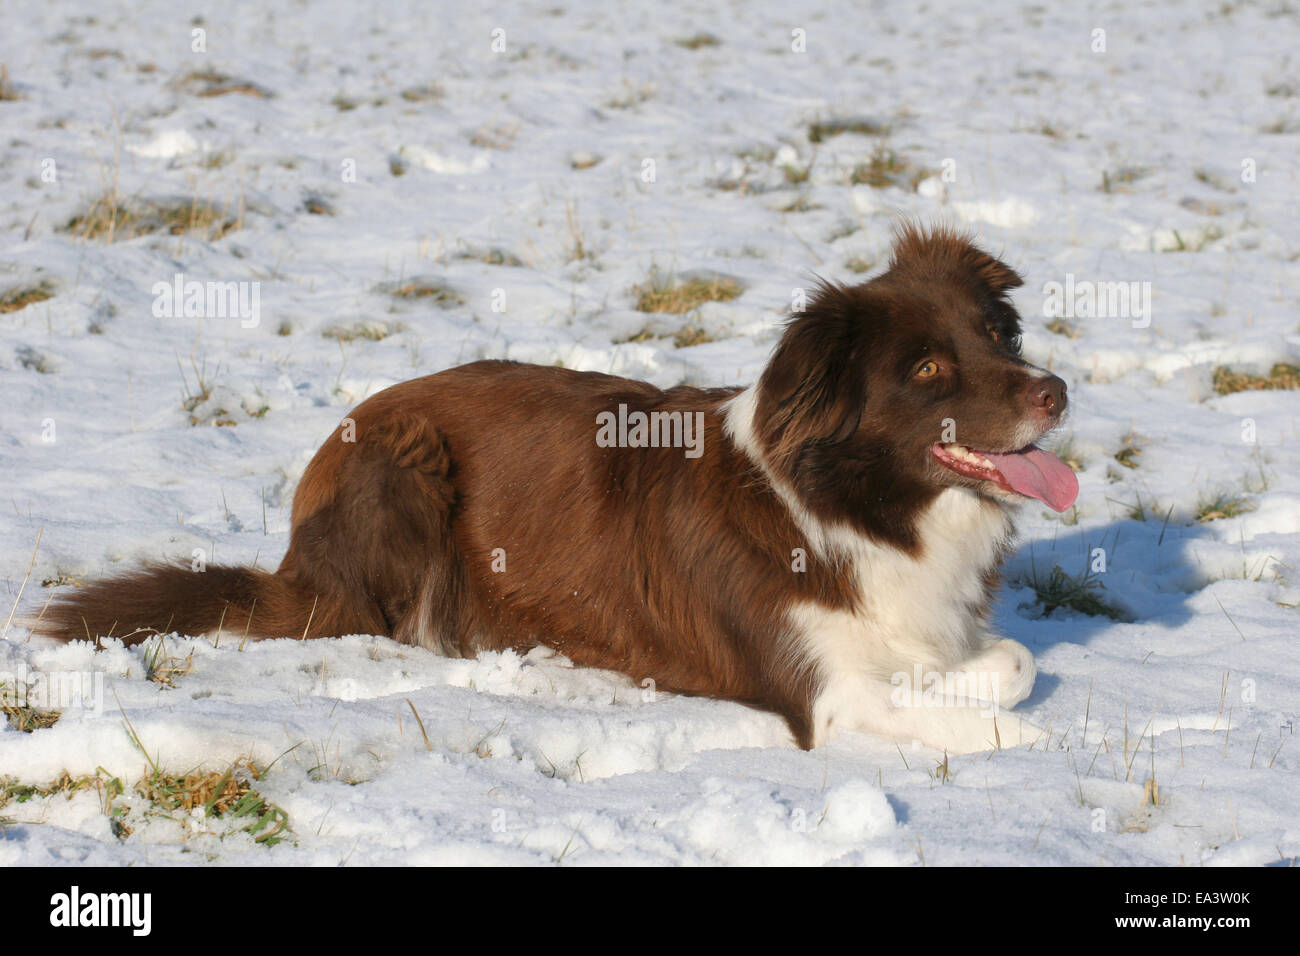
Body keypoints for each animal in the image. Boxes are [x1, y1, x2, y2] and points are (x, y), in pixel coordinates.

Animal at [38, 226, 1076, 754]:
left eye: (1001, 335)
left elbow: (1013, 662)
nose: (1057, 391)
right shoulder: (823, 693)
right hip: (405, 461)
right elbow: (998, 700)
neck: (855, 510)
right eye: (929, 369)